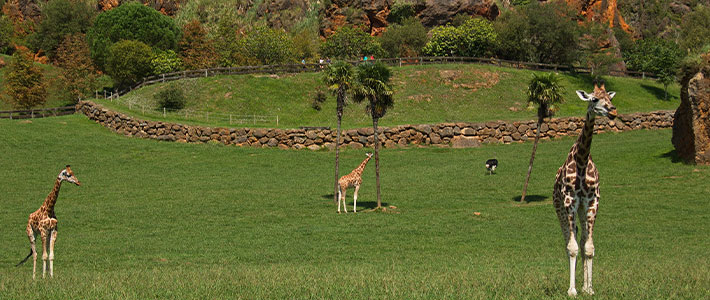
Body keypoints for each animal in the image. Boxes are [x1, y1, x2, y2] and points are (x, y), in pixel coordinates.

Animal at [556, 84, 616, 298]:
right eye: (594, 99)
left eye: (610, 98)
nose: (613, 111)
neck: (582, 159)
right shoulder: (569, 200)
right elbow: (572, 248)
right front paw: (572, 290)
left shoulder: (592, 201)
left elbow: (588, 247)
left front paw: (589, 288)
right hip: (561, 209)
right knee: (569, 240)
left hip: (582, 209)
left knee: (581, 240)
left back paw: (584, 285)